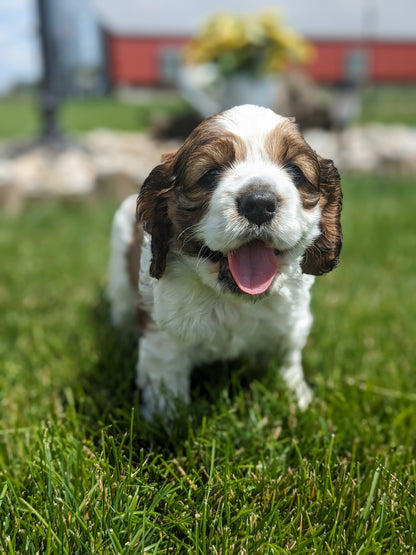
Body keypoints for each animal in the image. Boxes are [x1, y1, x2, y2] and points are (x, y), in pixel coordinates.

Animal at [106, 105, 342, 422]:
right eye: (210, 174)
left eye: (295, 171)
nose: (259, 203)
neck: (233, 300)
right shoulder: (163, 335)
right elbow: (166, 380)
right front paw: (167, 421)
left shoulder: (291, 322)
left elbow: (287, 360)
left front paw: (297, 399)